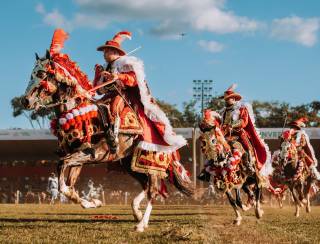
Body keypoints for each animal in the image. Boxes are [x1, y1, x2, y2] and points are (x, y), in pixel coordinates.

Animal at [22, 31, 194, 232]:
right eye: (31, 73)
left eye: (41, 73)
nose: (25, 101)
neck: (77, 112)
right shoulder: (77, 158)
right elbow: (68, 186)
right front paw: (93, 203)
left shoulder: (90, 154)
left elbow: (63, 178)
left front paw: (93, 202)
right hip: (129, 165)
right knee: (146, 186)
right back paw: (137, 213)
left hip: (150, 164)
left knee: (153, 190)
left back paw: (141, 224)